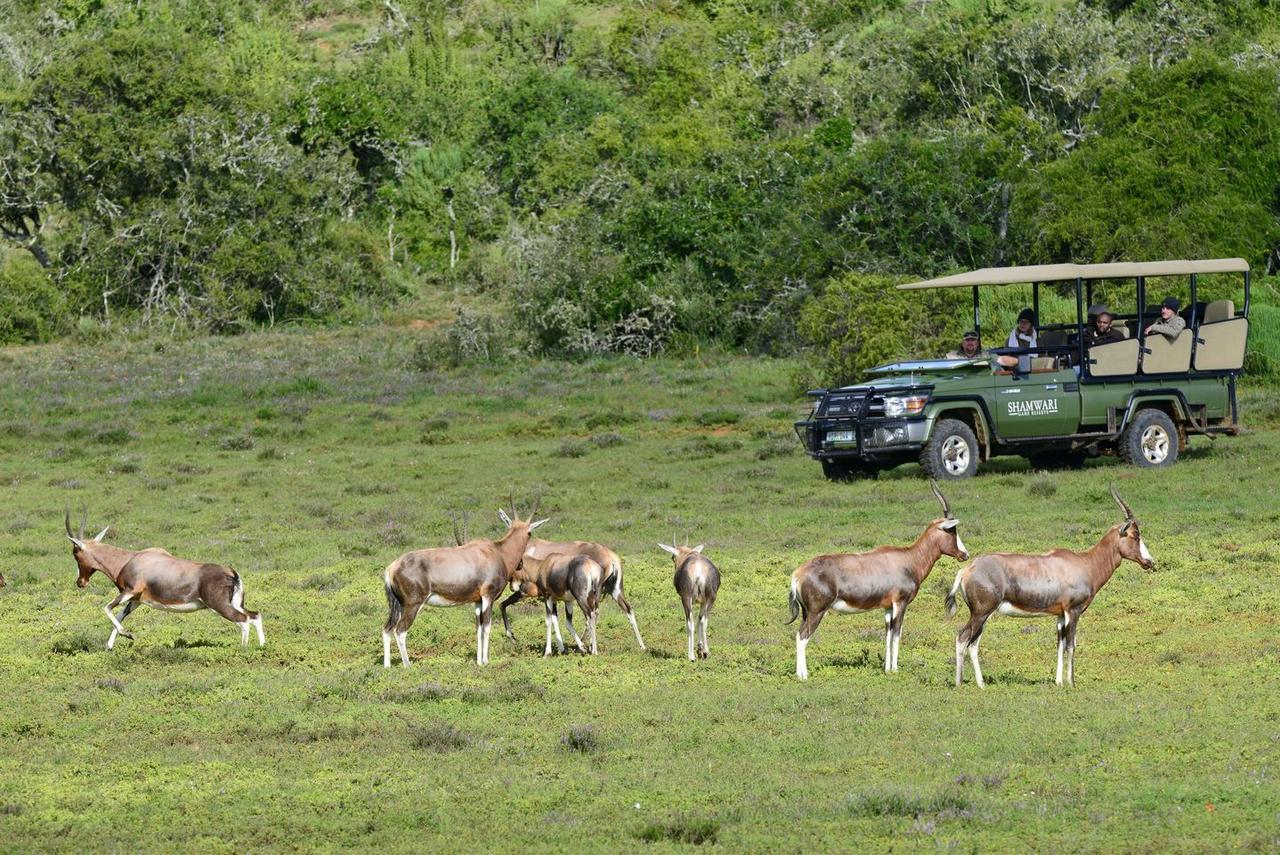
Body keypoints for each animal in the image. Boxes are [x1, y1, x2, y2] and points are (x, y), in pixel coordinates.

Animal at [66, 506, 266, 647]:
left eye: (75, 553)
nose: (80, 582)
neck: (130, 559)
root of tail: (231, 572)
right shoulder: (137, 600)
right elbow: (120, 616)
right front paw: (111, 646)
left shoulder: (130, 592)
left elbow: (106, 608)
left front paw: (129, 635)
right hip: (235, 604)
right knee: (255, 615)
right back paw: (262, 647)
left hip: (219, 606)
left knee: (243, 621)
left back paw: (243, 650)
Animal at [373, 501, 545, 665]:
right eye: (529, 532)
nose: (520, 564)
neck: (497, 552)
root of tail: (392, 567)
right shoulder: (488, 597)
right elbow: (487, 627)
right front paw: (486, 662)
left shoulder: (477, 601)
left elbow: (478, 629)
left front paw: (479, 662)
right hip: (413, 605)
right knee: (400, 631)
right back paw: (408, 666)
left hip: (397, 606)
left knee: (387, 630)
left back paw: (387, 667)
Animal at [496, 537, 645, 650]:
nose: (512, 587)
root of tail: (612, 558)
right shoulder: (556, 598)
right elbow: (556, 619)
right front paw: (562, 648)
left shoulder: (533, 594)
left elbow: (503, 605)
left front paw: (513, 637)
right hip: (614, 591)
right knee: (627, 610)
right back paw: (642, 646)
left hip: (587, 596)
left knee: (592, 614)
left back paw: (589, 646)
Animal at [783, 481, 962, 680]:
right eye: (952, 532)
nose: (965, 554)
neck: (908, 559)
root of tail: (798, 574)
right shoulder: (901, 603)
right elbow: (897, 634)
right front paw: (895, 670)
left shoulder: (887, 607)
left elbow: (887, 635)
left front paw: (887, 669)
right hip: (817, 612)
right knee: (802, 637)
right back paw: (803, 676)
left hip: (806, 612)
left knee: (798, 635)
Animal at [947, 486, 1157, 686]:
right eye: (1135, 535)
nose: (1150, 562)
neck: (1084, 562)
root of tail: (967, 570)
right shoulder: (1074, 611)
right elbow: (1071, 645)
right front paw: (1071, 683)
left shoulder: (1060, 615)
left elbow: (1060, 645)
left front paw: (1059, 682)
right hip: (980, 613)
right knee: (963, 638)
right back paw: (960, 683)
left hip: (984, 615)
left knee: (973, 644)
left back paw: (980, 684)